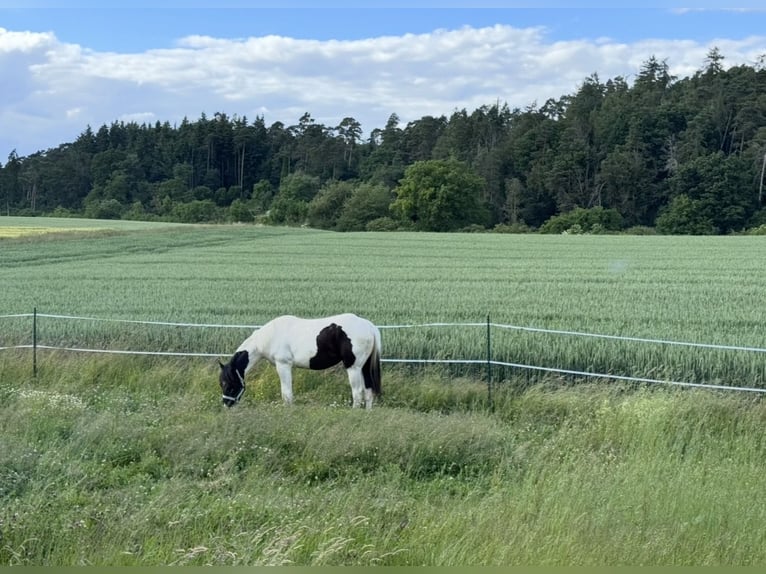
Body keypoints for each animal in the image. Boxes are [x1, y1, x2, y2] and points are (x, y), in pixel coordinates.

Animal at [218, 313, 382, 409]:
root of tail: (369, 326)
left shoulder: (283, 365)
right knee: (368, 391)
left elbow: (286, 394)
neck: (269, 336)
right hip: (364, 366)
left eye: (228, 384)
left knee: (357, 392)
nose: (227, 404)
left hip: (353, 367)